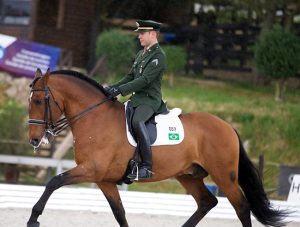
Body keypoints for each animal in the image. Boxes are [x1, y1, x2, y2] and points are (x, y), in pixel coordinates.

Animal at [27, 69, 288, 227]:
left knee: (241, 207)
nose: (34, 140)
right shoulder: (104, 180)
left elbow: (53, 182)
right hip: (188, 175)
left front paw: (34, 219)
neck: (94, 118)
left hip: (224, 175)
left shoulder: (91, 169)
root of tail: (227, 126)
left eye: (39, 101)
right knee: (207, 202)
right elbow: (119, 213)